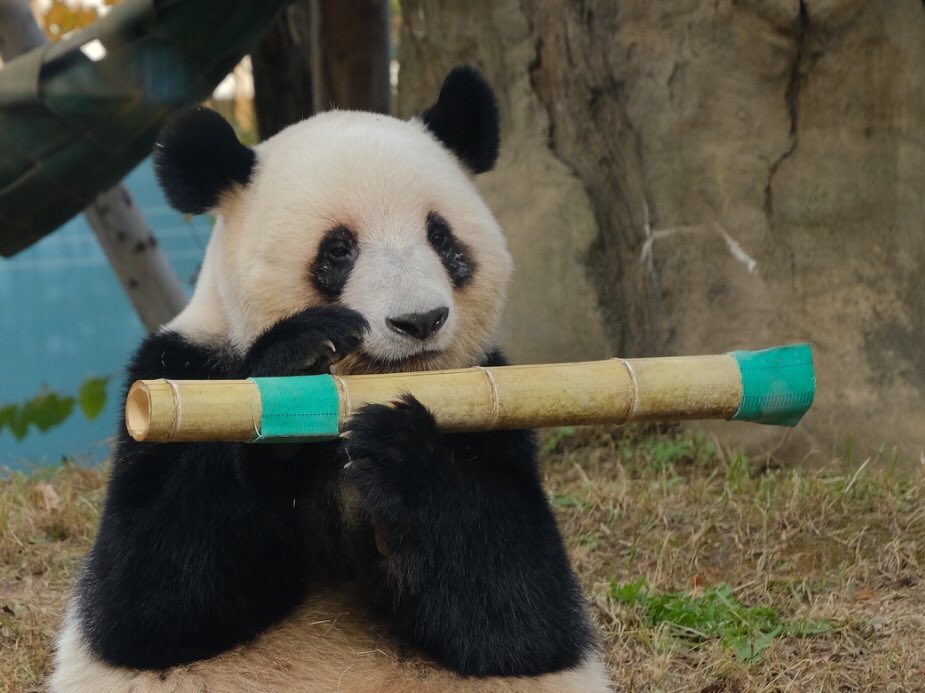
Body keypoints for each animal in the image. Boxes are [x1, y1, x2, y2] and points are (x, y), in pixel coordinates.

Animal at [51, 66, 611, 692]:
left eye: (441, 238)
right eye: (339, 250)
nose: (420, 320)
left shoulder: (493, 395)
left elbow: (522, 612)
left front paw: (400, 449)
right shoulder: (177, 372)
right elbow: (147, 596)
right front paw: (295, 364)